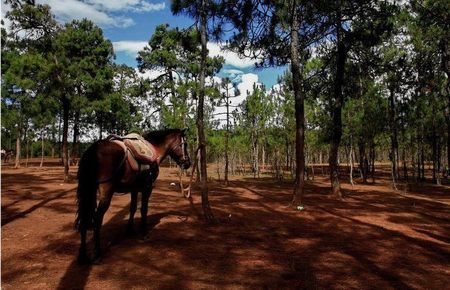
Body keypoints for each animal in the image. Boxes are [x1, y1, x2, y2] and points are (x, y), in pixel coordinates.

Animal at [75, 128, 190, 264]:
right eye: (185, 144)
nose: (188, 163)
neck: (155, 151)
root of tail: (93, 150)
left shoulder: (134, 188)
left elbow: (133, 208)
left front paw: (129, 230)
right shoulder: (147, 187)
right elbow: (144, 209)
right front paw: (144, 233)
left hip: (88, 190)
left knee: (84, 218)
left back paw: (82, 255)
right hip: (106, 192)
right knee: (97, 219)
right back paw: (96, 254)